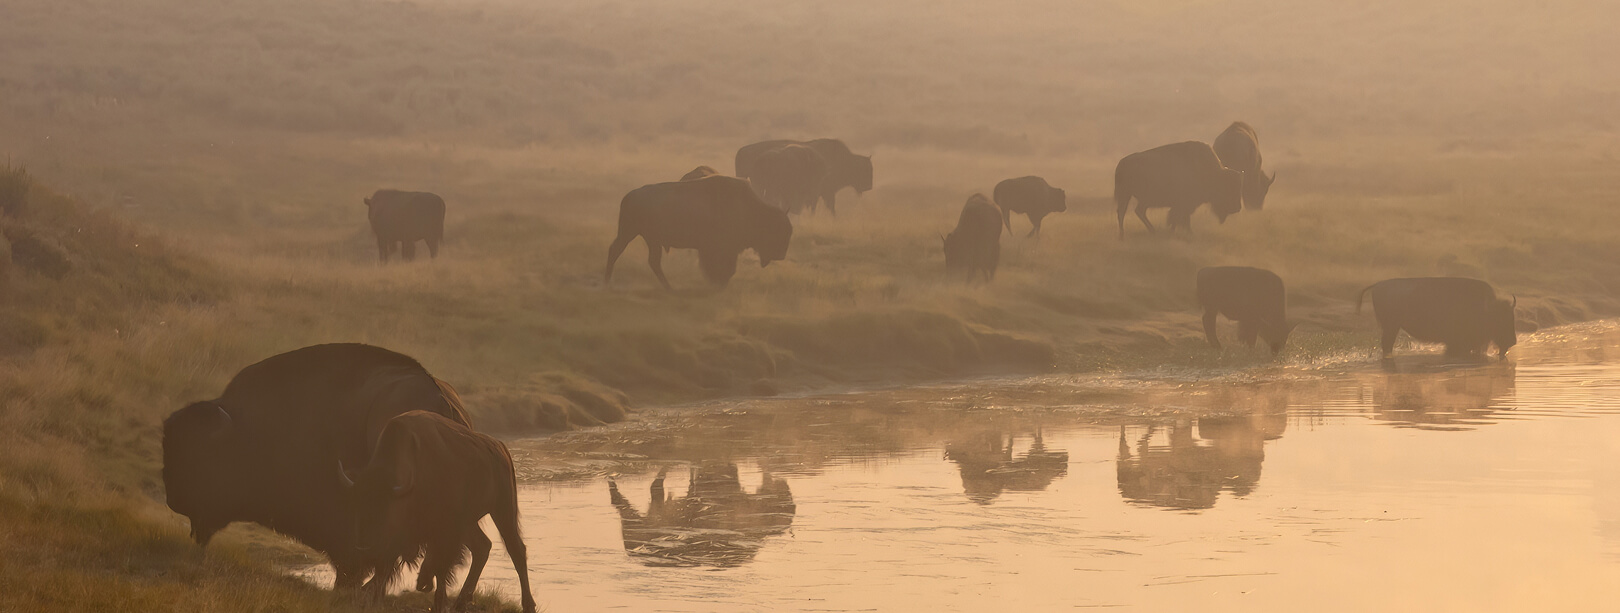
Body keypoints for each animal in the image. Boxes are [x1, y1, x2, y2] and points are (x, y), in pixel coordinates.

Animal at [340, 411, 536, 613]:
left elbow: (441, 568)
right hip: (469, 523)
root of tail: (500, 447)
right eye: (356, 503)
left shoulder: (443, 532)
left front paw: (438, 601)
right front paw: (376, 601)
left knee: (516, 550)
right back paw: (460, 602)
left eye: (385, 506)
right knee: (482, 547)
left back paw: (528, 604)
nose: (364, 545)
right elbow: (386, 567)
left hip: (503, 509)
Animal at [604, 175, 793, 289]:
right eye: (777, 231)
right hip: (631, 233)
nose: (780, 255)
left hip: (644, 238)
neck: (751, 210)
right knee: (618, 251)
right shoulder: (720, 249)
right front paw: (718, 283)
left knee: (648, 260)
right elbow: (723, 268)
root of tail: (629, 196)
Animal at [1113, 141, 1244, 239]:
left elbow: (1177, 219)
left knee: (1133, 212)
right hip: (1131, 196)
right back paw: (1141, 232)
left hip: (1135, 198)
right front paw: (1189, 234)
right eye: (1228, 188)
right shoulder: (1185, 205)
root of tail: (1122, 163)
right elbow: (1182, 219)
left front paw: (1174, 232)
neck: (1212, 174)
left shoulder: (1182, 206)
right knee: (1129, 212)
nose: (1237, 208)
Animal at [1356, 277, 1517, 358]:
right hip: (1391, 327)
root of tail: (1378, 285)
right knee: (1387, 344)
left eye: (1511, 317)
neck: (1487, 309)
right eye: (1503, 318)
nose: (1513, 341)